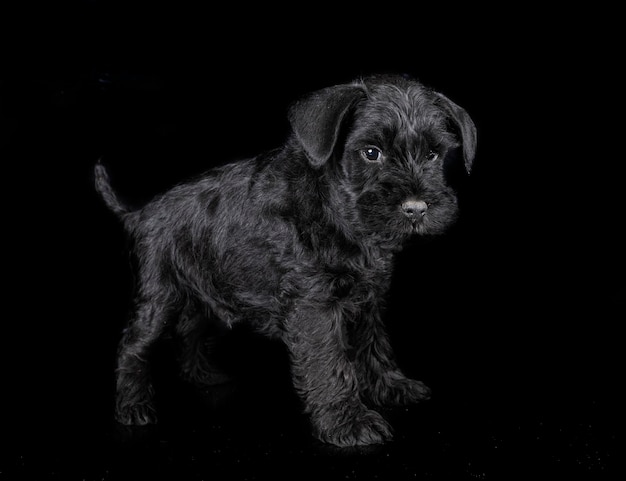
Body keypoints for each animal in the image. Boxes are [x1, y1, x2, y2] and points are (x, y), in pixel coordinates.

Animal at [95, 74, 476, 446]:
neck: (339, 210)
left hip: (208, 293)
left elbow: (373, 345)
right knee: (133, 347)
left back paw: (205, 375)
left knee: (190, 332)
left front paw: (391, 386)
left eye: (433, 154)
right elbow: (329, 361)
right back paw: (132, 407)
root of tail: (138, 214)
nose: (417, 209)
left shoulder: (367, 299)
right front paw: (347, 421)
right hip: (159, 299)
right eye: (371, 152)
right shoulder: (315, 306)